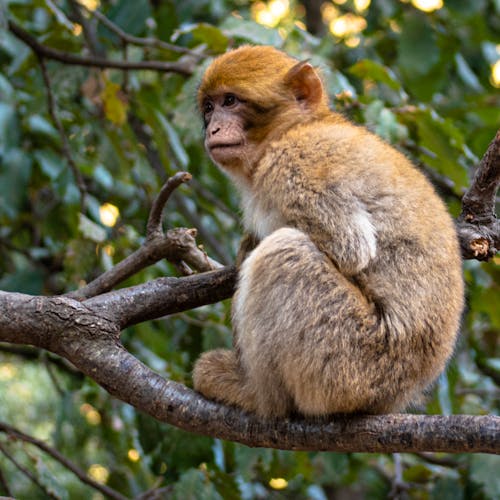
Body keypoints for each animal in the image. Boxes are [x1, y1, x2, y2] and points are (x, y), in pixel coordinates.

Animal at [192, 46, 464, 418]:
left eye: (230, 101)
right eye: (209, 107)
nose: (214, 128)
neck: (298, 127)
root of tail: (390, 399)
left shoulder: (293, 164)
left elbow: (351, 249)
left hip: (349, 361)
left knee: (284, 253)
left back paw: (258, 396)